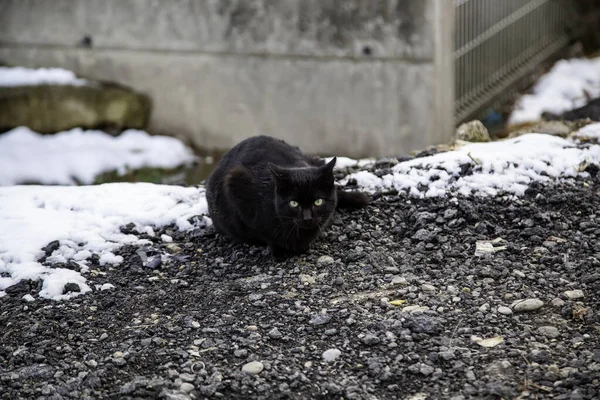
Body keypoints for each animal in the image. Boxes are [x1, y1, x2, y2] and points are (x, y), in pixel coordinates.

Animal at [205, 135, 370, 260]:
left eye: (318, 201)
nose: (307, 217)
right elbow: (264, 232)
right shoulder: (236, 185)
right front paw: (279, 251)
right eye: (294, 203)